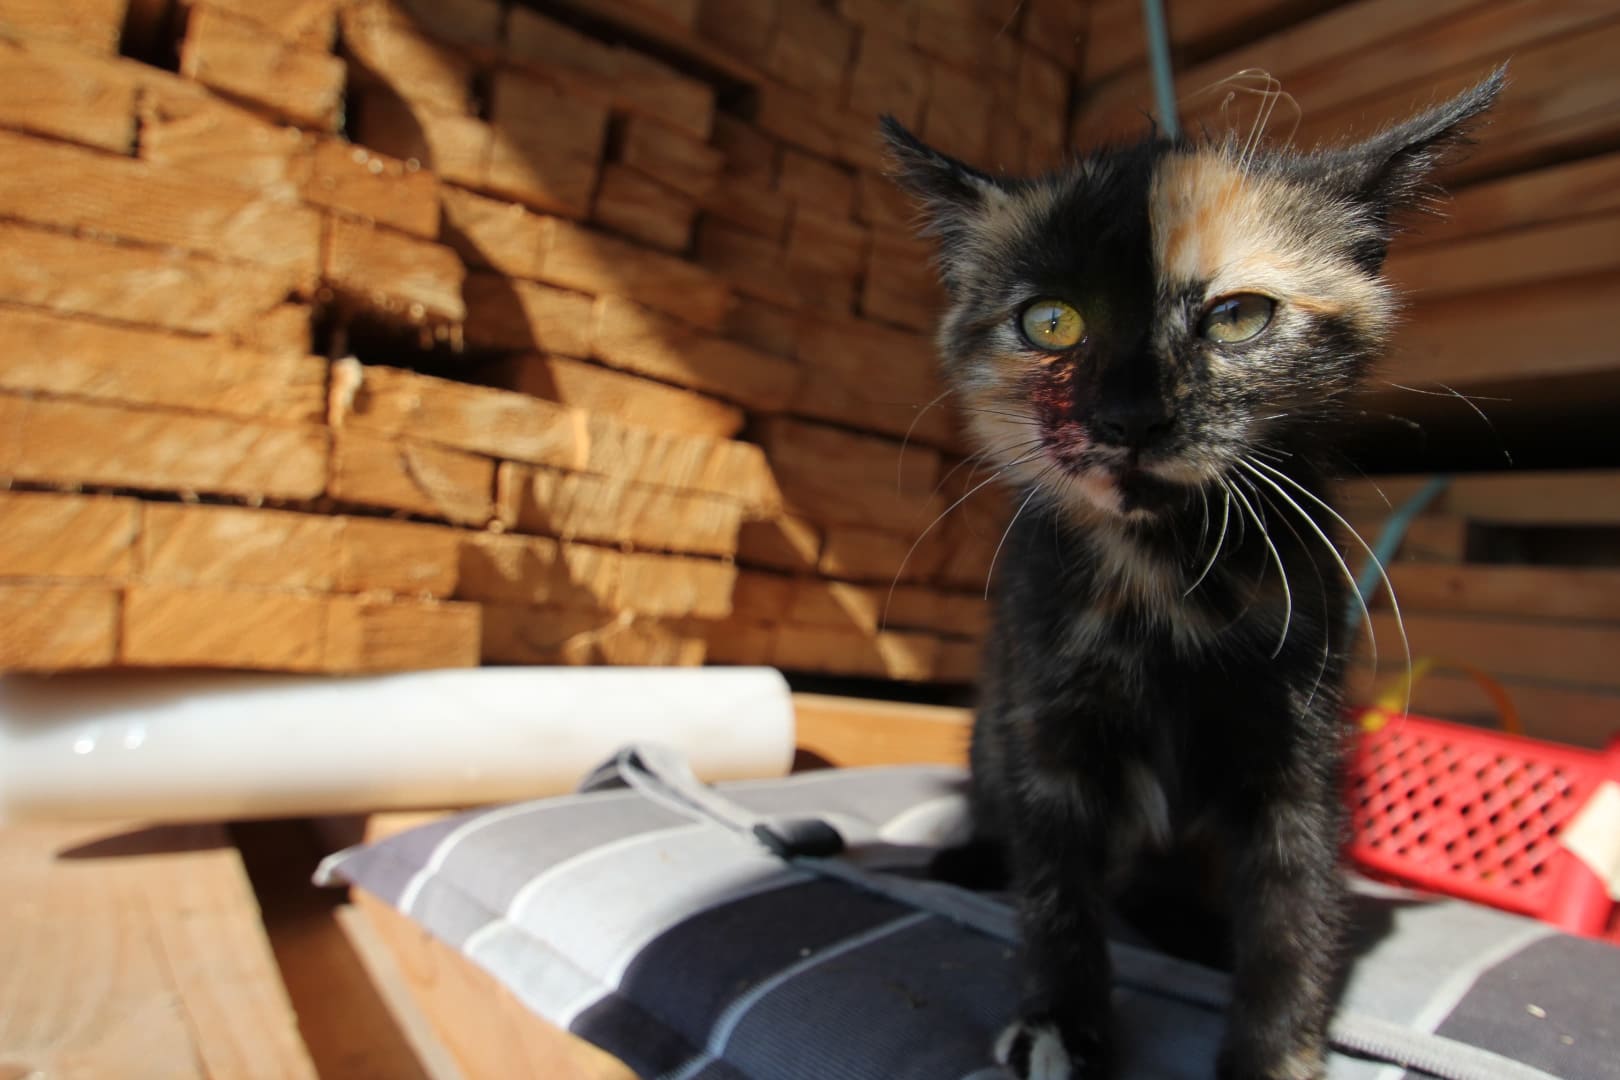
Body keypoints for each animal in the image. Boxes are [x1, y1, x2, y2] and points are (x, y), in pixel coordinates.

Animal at [882, 68, 1504, 1080]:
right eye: (1050, 321)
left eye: (1238, 316)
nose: (1129, 415)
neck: (1164, 576)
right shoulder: (1047, 723)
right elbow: (1055, 892)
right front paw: (1063, 1022)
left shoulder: (1298, 746)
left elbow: (1295, 909)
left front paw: (1273, 1051)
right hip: (991, 724)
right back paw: (973, 859)